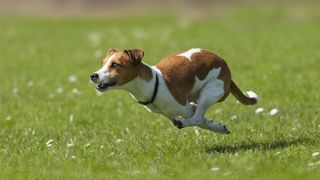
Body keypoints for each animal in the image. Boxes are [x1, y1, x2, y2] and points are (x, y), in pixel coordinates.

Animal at [89, 47, 258, 134]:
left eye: (115, 65)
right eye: (103, 63)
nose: (93, 75)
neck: (152, 84)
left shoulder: (186, 108)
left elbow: (199, 119)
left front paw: (217, 127)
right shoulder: (173, 111)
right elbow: (200, 120)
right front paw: (218, 127)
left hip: (209, 92)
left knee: (197, 117)